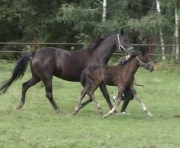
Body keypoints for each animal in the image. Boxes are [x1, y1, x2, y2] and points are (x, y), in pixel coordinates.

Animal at [0, 28, 135, 112]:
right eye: (124, 40)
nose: (132, 53)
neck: (97, 56)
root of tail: (35, 53)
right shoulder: (95, 82)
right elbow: (98, 95)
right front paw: (112, 110)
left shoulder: (96, 82)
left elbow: (95, 95)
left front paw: (79, 107)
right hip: (47, 77)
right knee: (48, 94)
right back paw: (58, 110)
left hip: (37, 77)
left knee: (24, 86)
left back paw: (19, 105)